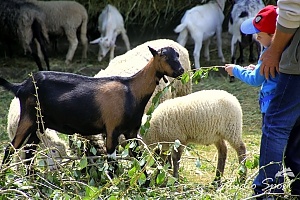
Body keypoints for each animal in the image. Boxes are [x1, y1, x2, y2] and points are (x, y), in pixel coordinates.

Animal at [0, 46, 184, 180]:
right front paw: (112, 185)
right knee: (11, 149)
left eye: (177, 55)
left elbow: (138, 158)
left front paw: (145, 183)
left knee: (29, 151)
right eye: (164, 56)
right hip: (28, 119)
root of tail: (21, 86)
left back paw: (32, 180)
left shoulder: (131, 132)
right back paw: (7, 176)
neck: (131, 90)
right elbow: (112, 161)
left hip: (39, 125)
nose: (181, 70)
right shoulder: (112, 130)